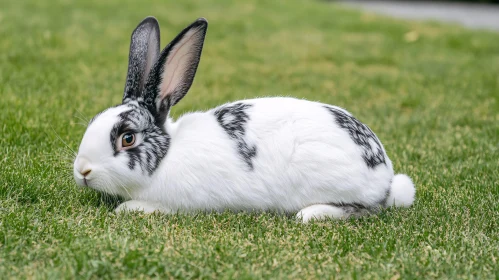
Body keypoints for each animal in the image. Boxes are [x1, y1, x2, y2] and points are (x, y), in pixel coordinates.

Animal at [74, 16, 416, 222]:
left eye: (127, 138)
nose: (82, 170)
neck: (167, 155)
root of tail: (386, 175)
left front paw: (127, 208)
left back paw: (311, 214)